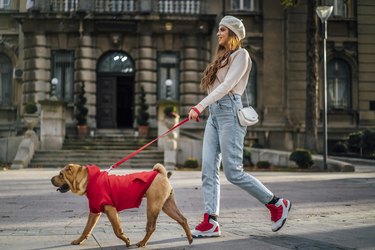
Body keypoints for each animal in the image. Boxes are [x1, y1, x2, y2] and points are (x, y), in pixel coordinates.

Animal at [50, 163, 194, 247]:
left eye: (61, 175)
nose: (51, 179)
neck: (89, 180)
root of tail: (161, 174)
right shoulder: (94, 211)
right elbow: (86, 229)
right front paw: (78, 241)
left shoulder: (110, 210)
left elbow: (117, 230)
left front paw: (126, 240)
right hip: (167, 206)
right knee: (182, 219)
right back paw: (190, 239)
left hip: (153, 206)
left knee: (151, 227)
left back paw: (142, 243)